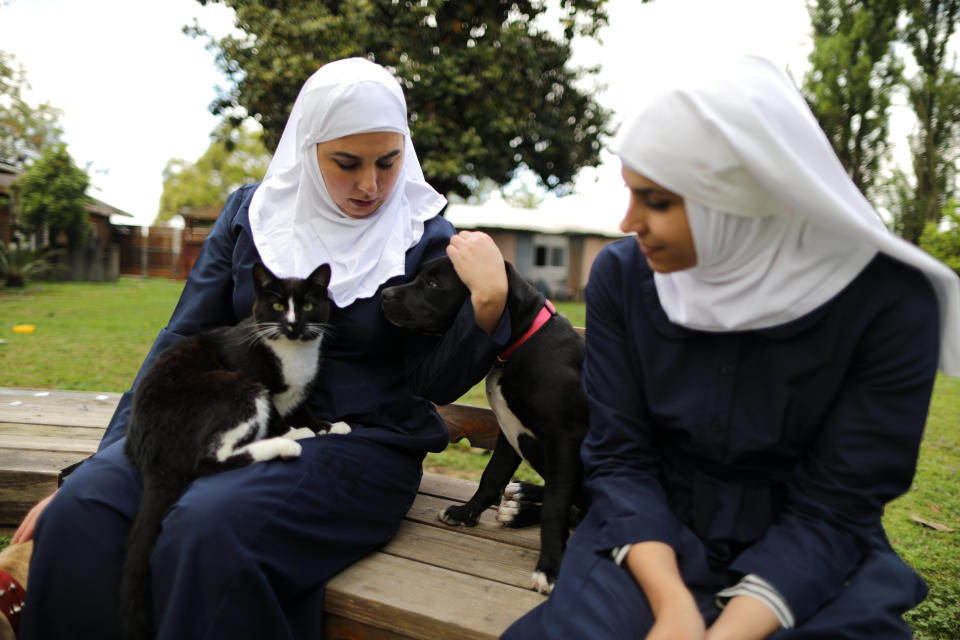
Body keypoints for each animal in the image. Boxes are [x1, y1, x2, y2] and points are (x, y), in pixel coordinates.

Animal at [119, 262, 344, 640]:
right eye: (278, 306)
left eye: (309, 306)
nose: (293, 324)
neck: (292, 352)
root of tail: (152, 453)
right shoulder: (252, 373)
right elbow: (278, 415)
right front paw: (299, 430)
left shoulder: (300, 391)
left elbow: (303, 408)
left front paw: (328, 425)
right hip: (234, 386)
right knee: (210, 459)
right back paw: (288, 444)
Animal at [380, 252, 588, 592]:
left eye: (433, 283)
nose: (384, 294)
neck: (522, 342)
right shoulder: (508, 431)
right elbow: (491, 477)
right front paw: (466, 514)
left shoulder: (563, 440)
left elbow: (555, 507)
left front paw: (550, 567)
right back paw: (519, 504)